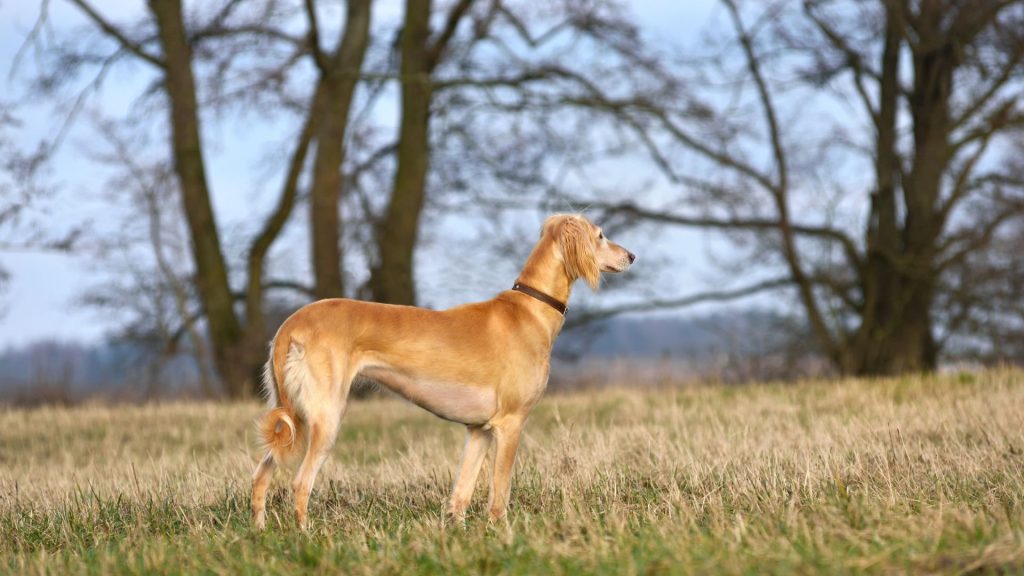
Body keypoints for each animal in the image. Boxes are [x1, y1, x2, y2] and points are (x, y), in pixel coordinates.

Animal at [249, 213, 630, 528]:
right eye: (600, 235)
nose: (631, 256)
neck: (529, 310)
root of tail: (291, 325)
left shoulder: (479, 430)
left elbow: (461, 493)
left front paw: (459, 533)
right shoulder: (510, 424)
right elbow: (500, 492)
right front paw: (503, 532)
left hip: (293, 418)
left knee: (261, 476)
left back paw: (260, 532)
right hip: (326, 417)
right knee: (300, 483)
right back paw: (305, 535)